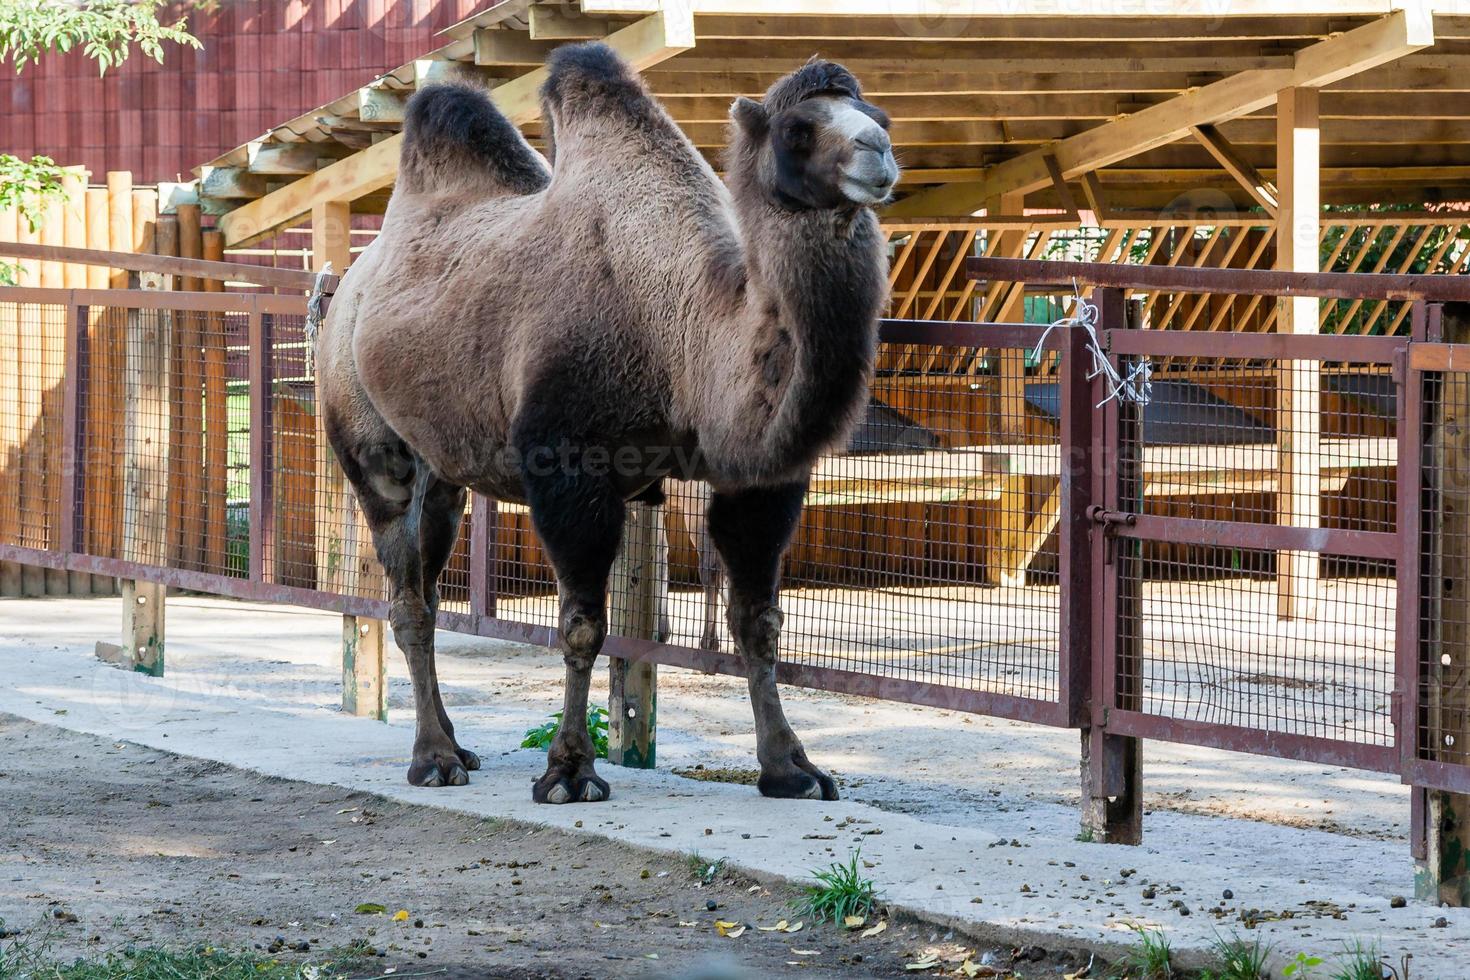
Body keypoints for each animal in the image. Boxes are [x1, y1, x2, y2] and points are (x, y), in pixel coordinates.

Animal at [320, 40, 893, 805]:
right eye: (798, 131)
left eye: (879, 116)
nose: (878, 153)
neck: (683, 333)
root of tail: (345, 288)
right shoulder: (567, 466)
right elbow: (583, 627)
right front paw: (568, 771)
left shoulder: (759, 479)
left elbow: (759, 622)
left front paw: (791, 767)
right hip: (367, 438)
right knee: (406, 593)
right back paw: (433, 758)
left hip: (442, 469)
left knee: (432, 581)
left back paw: (458, 745)